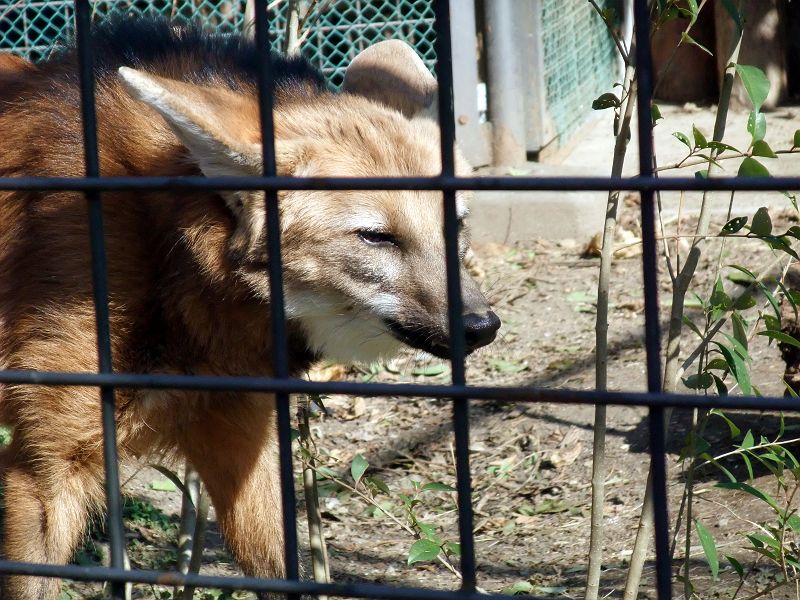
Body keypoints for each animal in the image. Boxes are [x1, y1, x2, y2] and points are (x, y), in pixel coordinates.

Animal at [0, 17, 500, 596]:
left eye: (456, 224)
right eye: (376, 237)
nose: (482, 326)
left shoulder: (241, 434)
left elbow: (283, 567)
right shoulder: (44, 471)